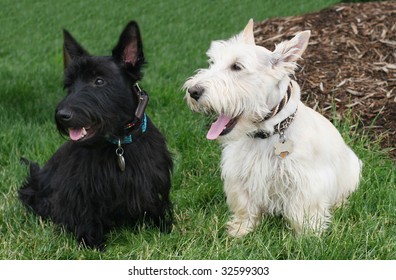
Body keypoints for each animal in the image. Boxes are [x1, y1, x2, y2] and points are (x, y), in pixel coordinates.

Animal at [19, 21, 173, 249]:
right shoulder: (80, 192)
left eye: (99, 81)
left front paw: (165, 228)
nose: (63, 115)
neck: (118, 144)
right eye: (70, 85)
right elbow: (85, 215)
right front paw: (91, 244)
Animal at [184, 19, 360, 236]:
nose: (193, 91)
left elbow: (303, 211)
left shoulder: (306, 181)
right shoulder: (240, 175)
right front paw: (241, 230)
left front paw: (308, 236)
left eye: (237, 66)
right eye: (213, 62)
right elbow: (245, 205)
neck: (266, 132)